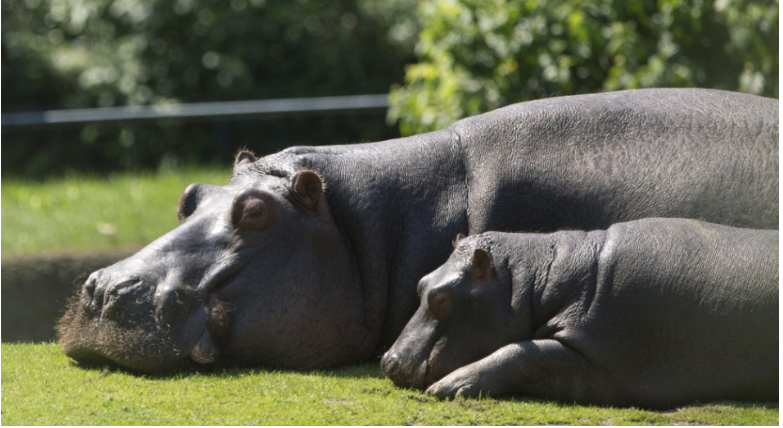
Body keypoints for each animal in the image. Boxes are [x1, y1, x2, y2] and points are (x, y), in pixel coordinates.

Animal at [382, 219, 776, 410]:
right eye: (421, 283)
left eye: (441, 299)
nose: (388, 360)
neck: (534, 281)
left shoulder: (602, 357)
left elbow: (524, 354)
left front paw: (450, 386)